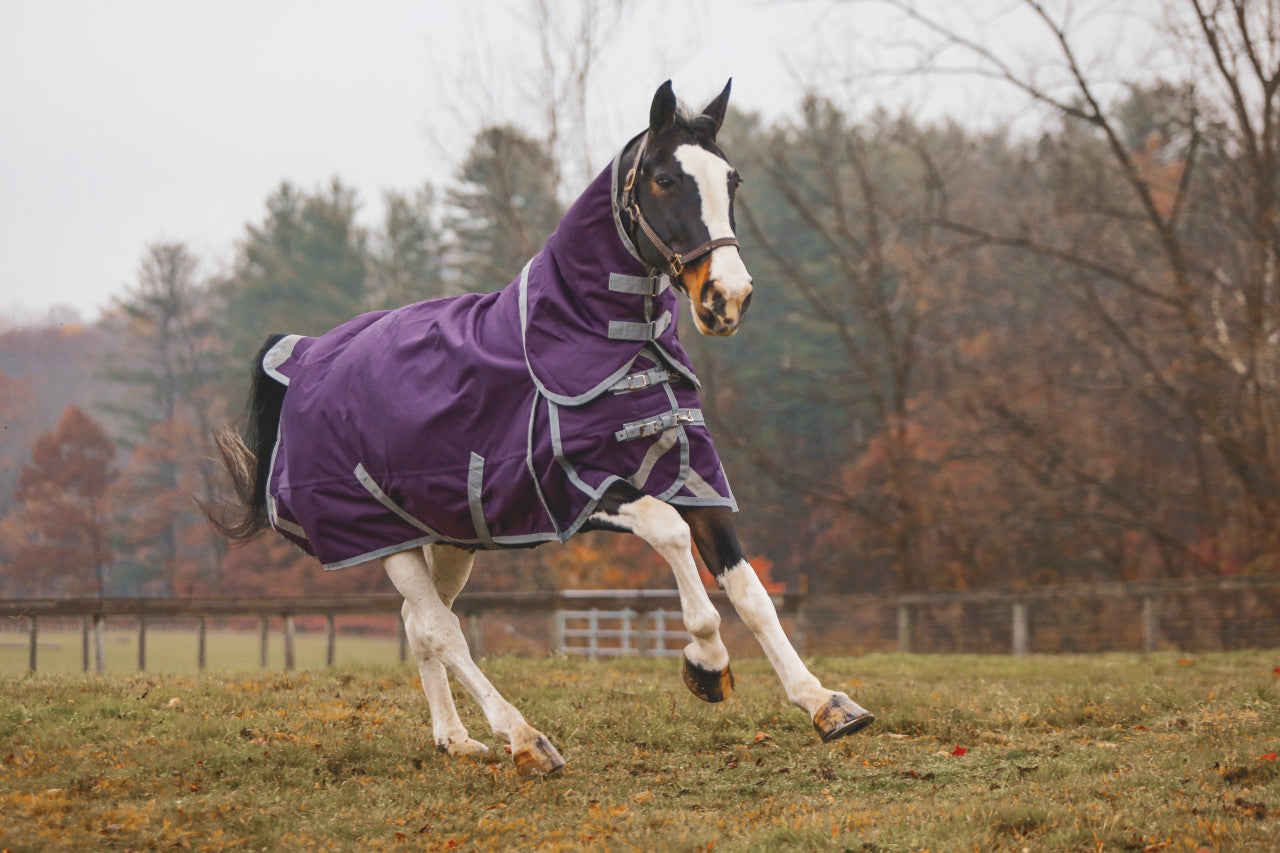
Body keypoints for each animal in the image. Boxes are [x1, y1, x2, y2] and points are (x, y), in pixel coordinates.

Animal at [212, 81, 870, 778]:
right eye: (664, 179)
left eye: (733, 180)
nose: (728, 298)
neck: (600, 339)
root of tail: (306, 355)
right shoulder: (581, 487)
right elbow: (668, 534)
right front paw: (707, 665)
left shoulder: (694, 474)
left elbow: (750, 590)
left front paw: (824, 704)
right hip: (380, 537)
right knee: (442, 629)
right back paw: (525, 737)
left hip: (446, 535)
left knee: (421, 623)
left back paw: (455, 739)